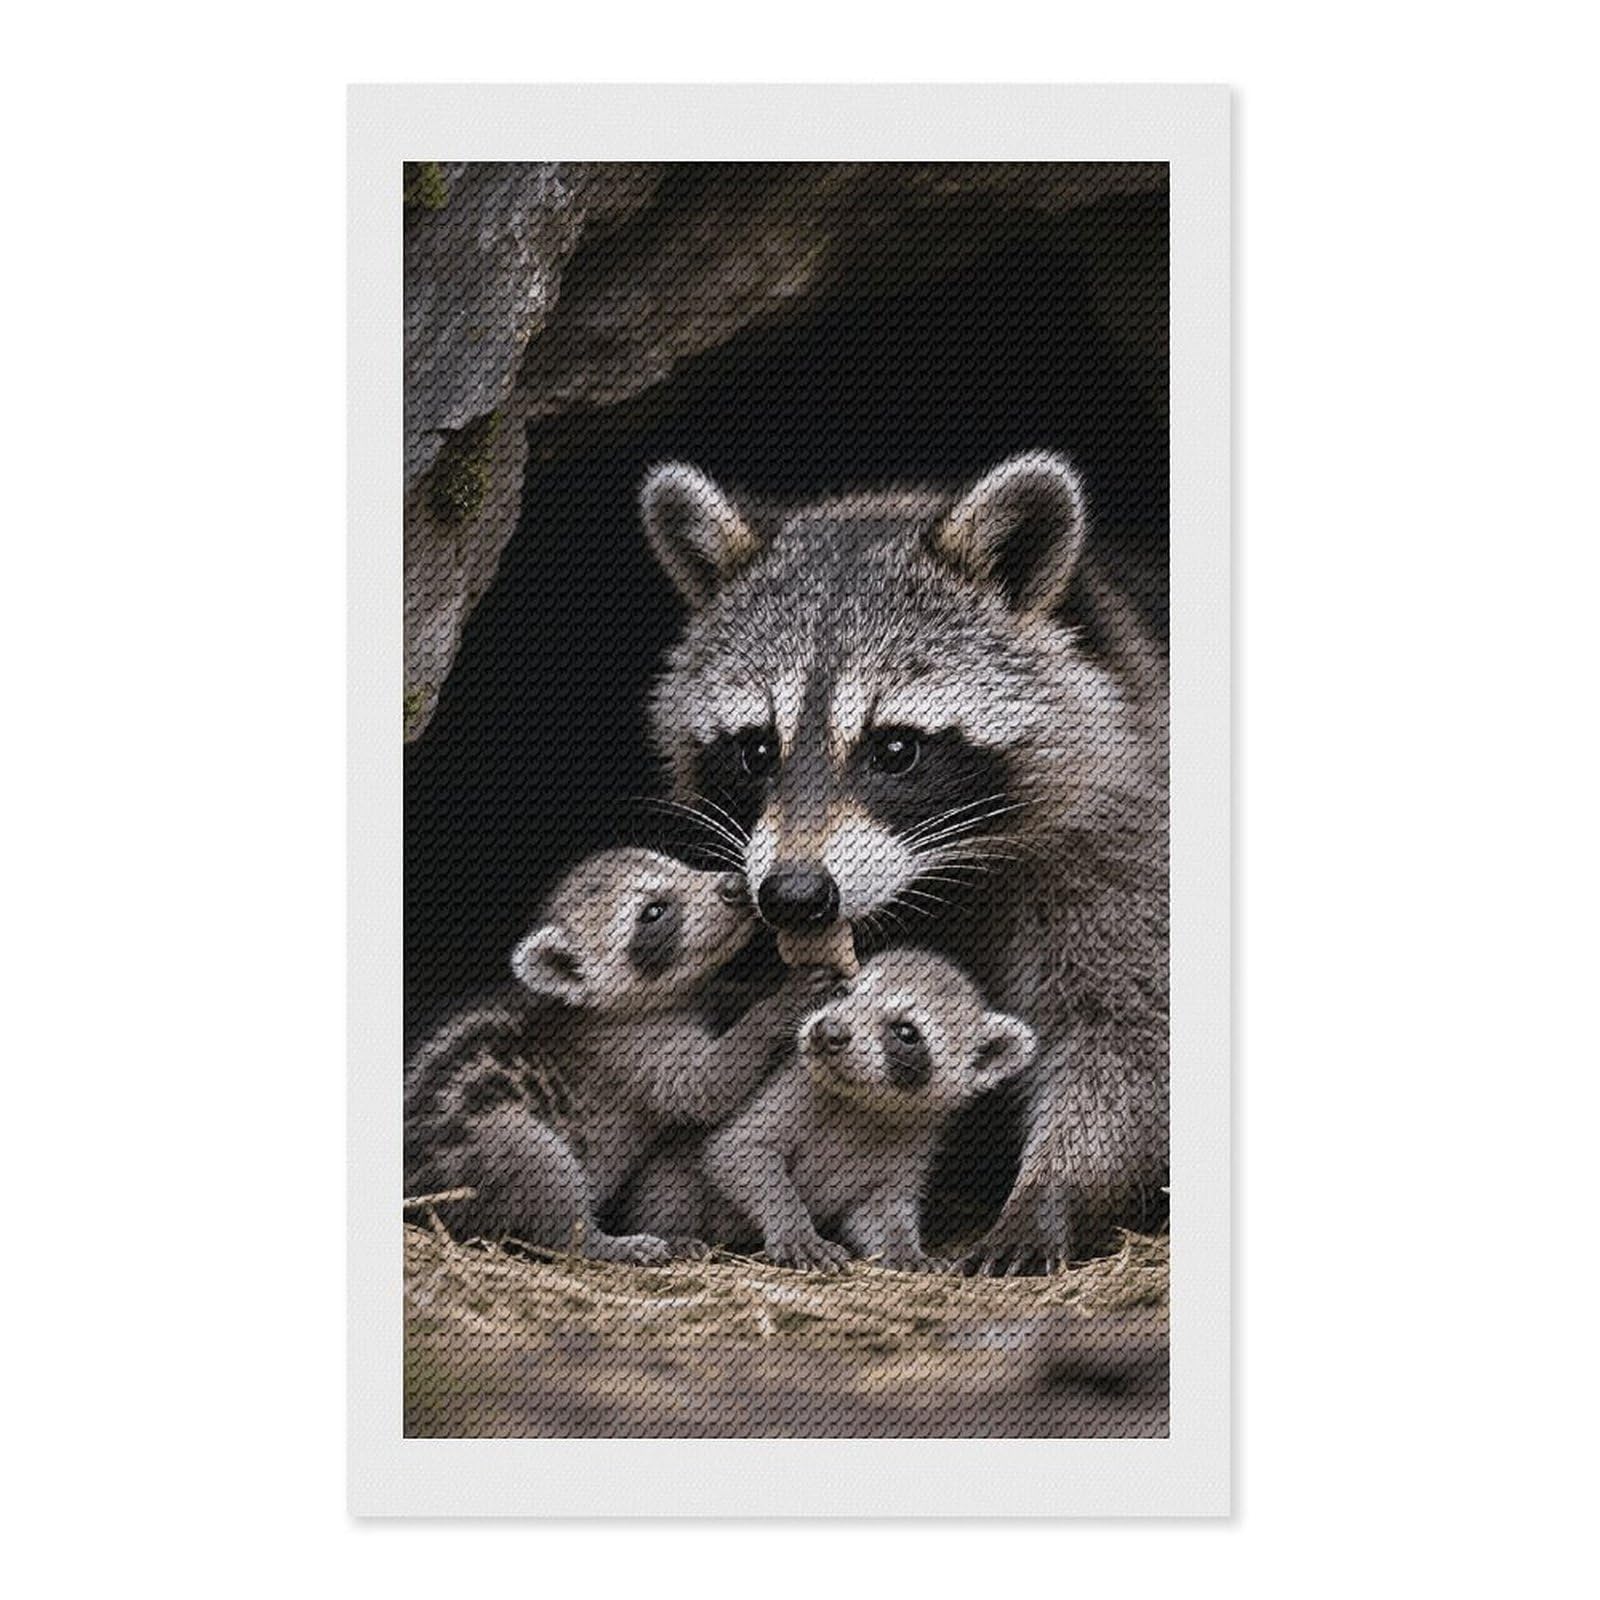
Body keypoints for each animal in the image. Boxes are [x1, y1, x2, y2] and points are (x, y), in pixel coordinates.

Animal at [404, 847, 777, 1265]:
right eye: (653, 911)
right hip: (470, 1153)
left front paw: (753, 992)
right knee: (535, 1156)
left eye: (685, 867)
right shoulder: (629, 1052)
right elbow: (703, 1085)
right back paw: (601, 1243)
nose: (735, 885)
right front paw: (775, 1009)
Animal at [697, 949, 1036, 1273]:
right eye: (842, 992)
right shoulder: (791, 1090)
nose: (828, 1030)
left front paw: (904, 1248)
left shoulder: (913, 1146)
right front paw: (792, 1225)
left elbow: (881, 1211)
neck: (865, 1105)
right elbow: (738, 1150)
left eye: (906, 1032)